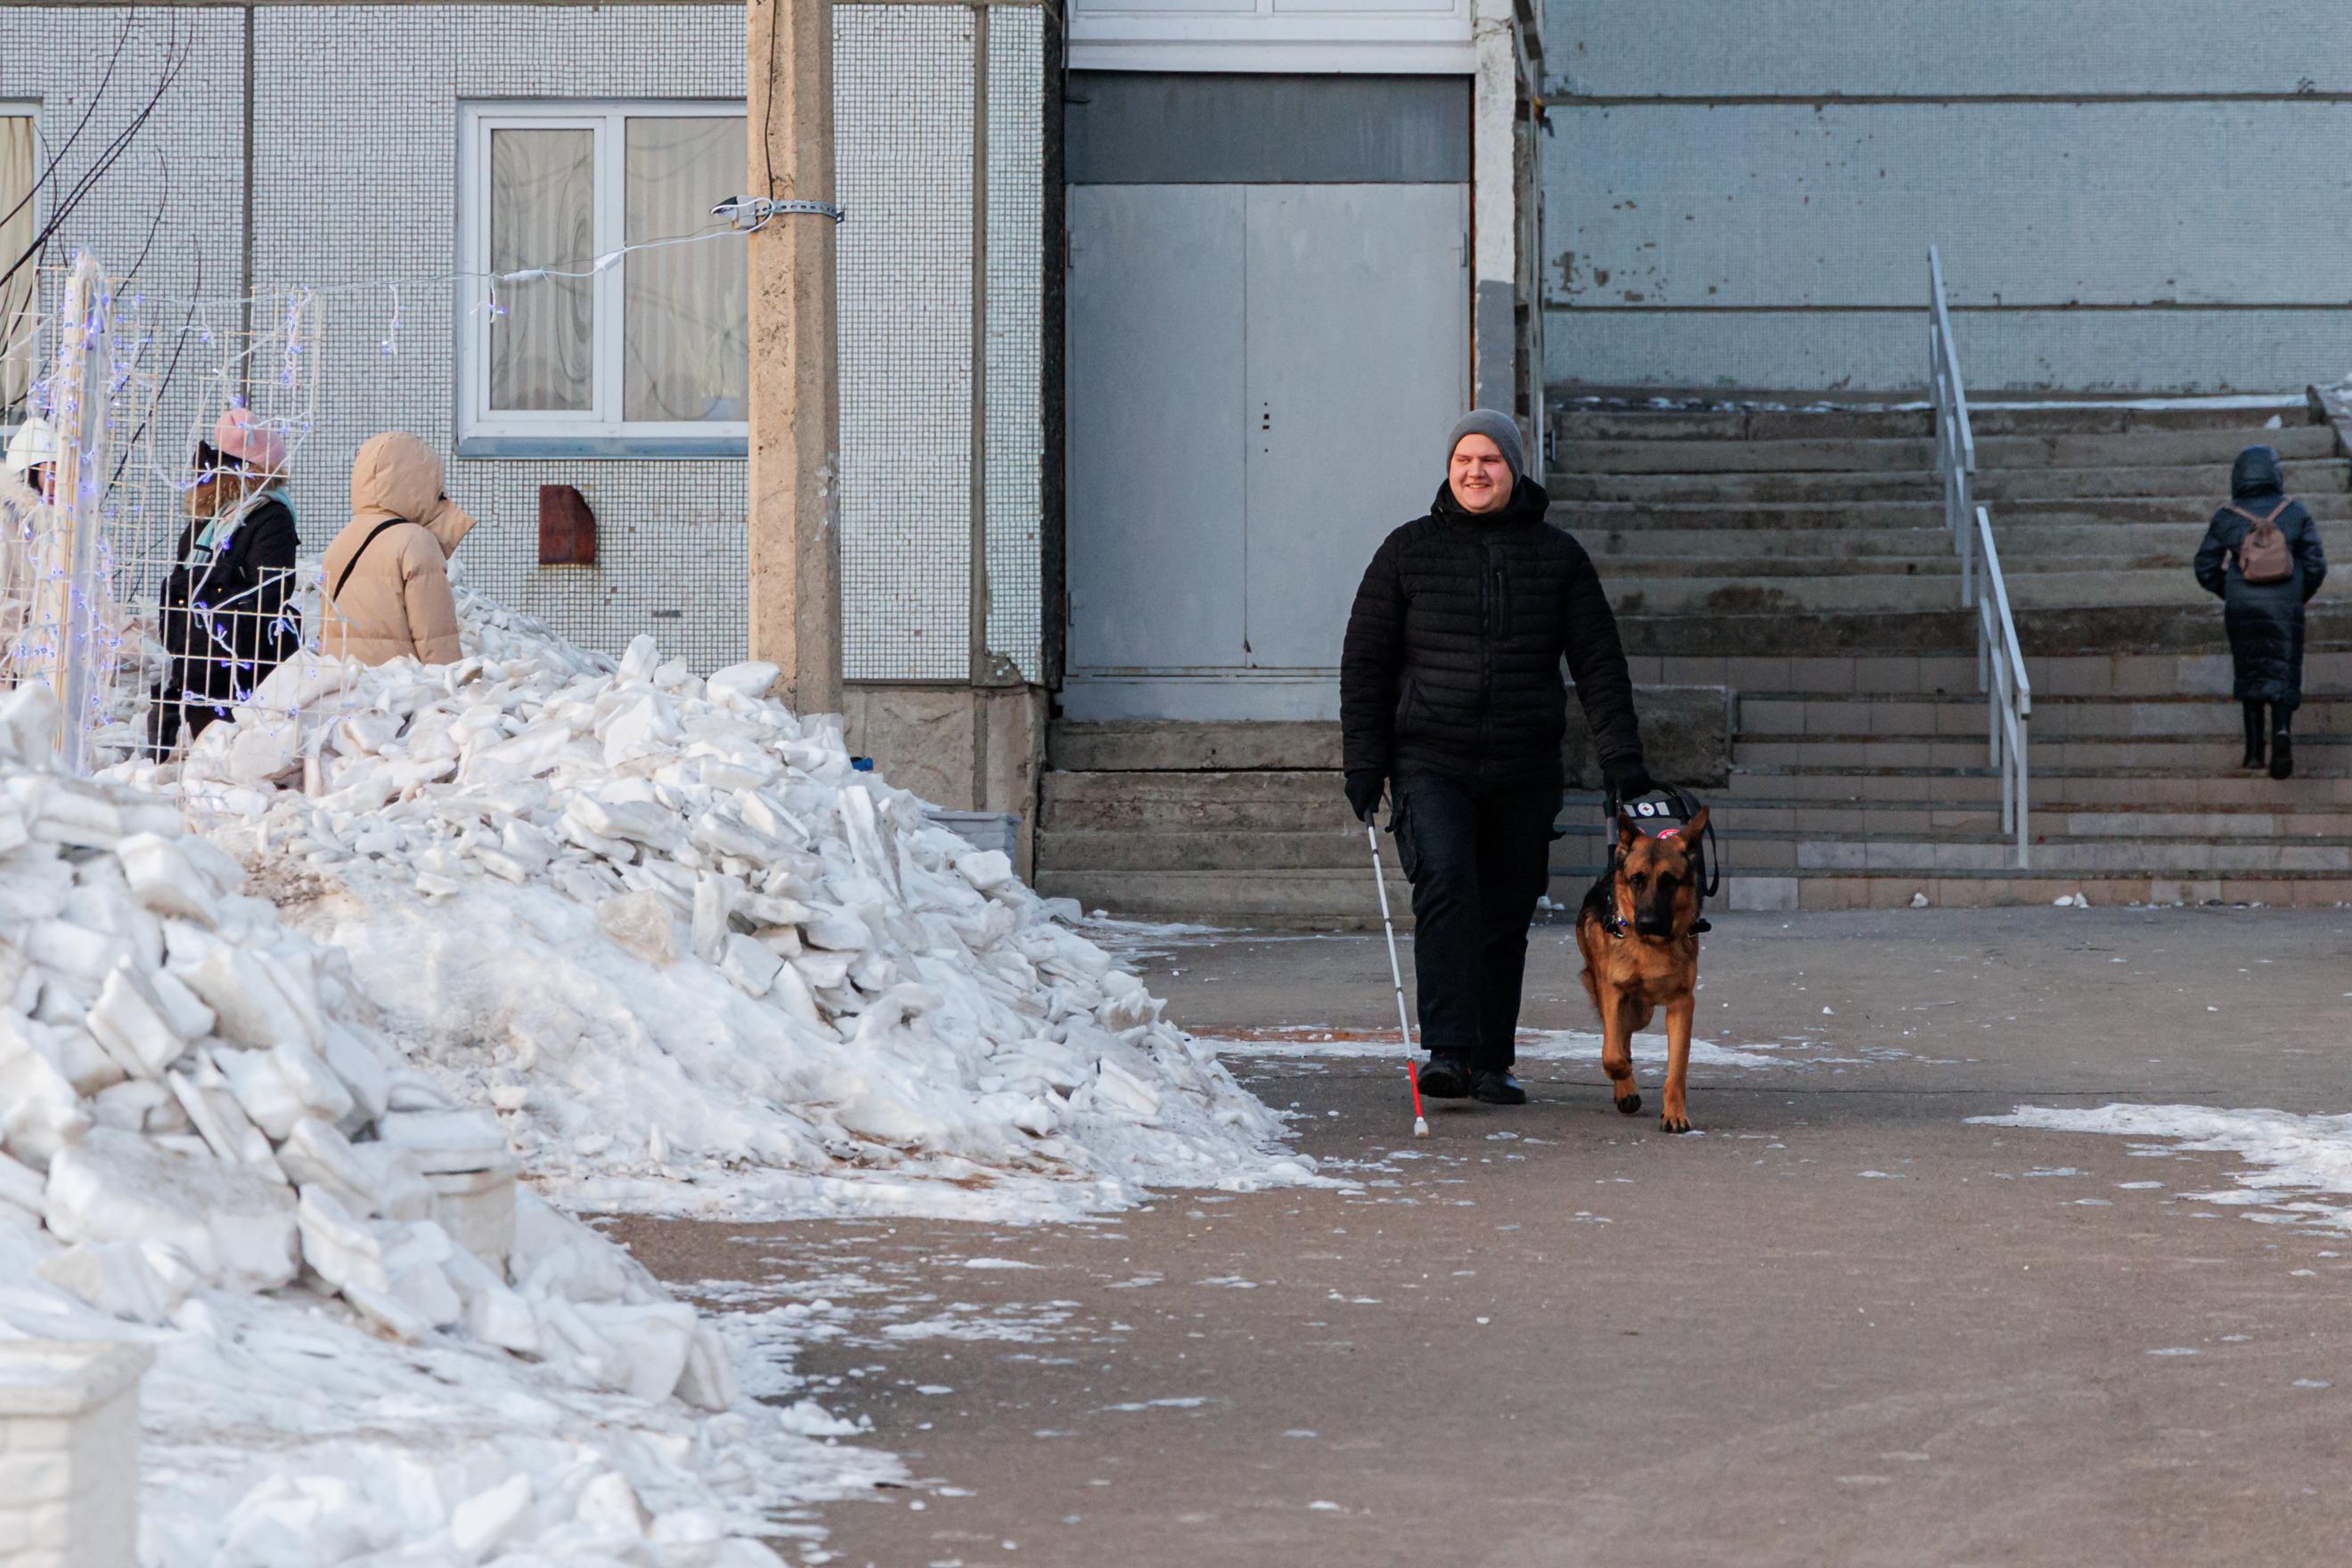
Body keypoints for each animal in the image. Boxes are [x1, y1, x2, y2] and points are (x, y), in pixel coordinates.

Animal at [1580, 808, 1711, 1128]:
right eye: (1637, 880)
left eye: (1669, 881)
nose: (1648, 922)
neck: (1650, 947)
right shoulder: (1613, 993)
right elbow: (1612, 1053)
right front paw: (1623, 1078)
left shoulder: (1682, 1004)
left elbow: (1676, 1070)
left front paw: (1675, 1114)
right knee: (1618, 1039)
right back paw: (1625, 1087)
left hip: (1641, 1011)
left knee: (1627, 1034)